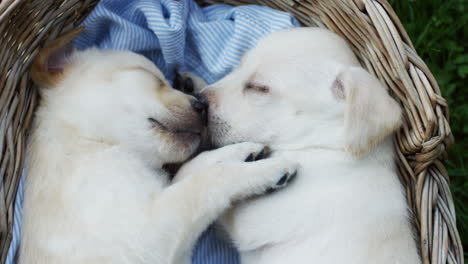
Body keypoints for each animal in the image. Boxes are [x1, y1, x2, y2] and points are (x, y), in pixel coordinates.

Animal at [20, 27, 298, 264]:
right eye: (151, 76)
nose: (202, 105)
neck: (93, 142)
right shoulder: (148, 236)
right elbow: (207, 182)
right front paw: (267, 170)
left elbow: (190, 172)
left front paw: (242, 151)